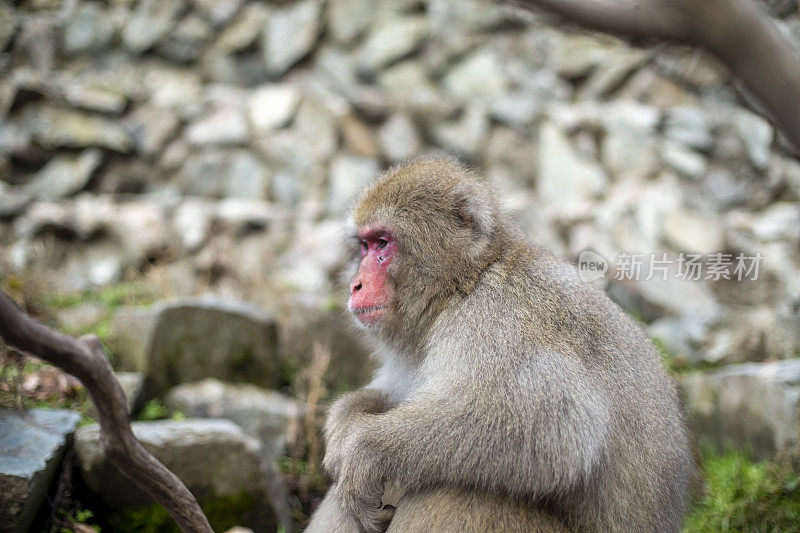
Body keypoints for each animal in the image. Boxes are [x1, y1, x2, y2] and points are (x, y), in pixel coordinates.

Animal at [304, 156, 692, 528]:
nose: (354, 284)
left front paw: (367, 450)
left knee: (456, 492)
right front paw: (344, 420)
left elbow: (560, 423)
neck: (467, 282)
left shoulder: (498, 319)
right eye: (365, 245)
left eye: (383, 244)